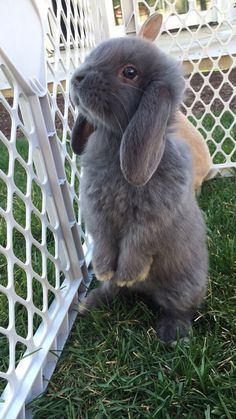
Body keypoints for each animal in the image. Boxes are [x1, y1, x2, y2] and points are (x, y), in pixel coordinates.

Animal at [70, 37, 208, 344]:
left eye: (130, 72)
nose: (76, 78)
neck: (116, 139)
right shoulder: (97, 215)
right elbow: (104, 242)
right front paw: (104, 269)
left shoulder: (151, 222)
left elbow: (136, 246)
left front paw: (127, 274)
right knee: (114, 292)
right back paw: (89, 302)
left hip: (182, 284)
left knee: (180, 308)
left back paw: (172, 335)